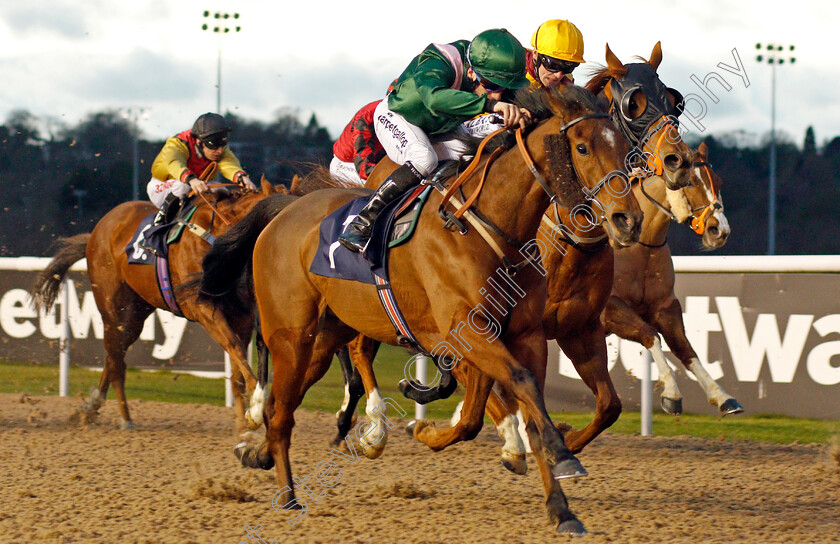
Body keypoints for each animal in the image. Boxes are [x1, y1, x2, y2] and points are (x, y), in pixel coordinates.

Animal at [30, 180, 286, 434]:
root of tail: (97, 230)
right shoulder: (200, 306)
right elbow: (234, 347)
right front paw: (256, 400)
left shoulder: (241, 313)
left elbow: (236, 364)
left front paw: (244, 422)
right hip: (112, 308)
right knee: (116, 362)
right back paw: (125, 418)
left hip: (136, 313)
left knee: (114, 357)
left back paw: (90, 409)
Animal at [202, 85, 644, 536]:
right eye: (583, 147)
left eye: (626, 147)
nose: (629, 219)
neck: (488, 226)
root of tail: (286, 209)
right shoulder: (468, 333)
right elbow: (515, 390)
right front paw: (561, 452)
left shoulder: (527, 335)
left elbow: (522, 406)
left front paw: (561, 507)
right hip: (291, 335)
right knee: (284, 410)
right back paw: (290, 493)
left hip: (326, 335)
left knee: (285, 403)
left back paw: (261, 453)